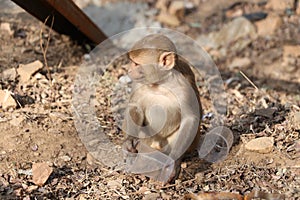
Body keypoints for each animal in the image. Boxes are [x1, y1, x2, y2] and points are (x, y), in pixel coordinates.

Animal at [122, 34, 202, 181]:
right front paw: (129, 141)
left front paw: (172, 162)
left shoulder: (184, 88)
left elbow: (190, 119)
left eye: (136, 64)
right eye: (132, 62)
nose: (129, 70)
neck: (160, 84)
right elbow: (135, 106)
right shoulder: (138, 83)